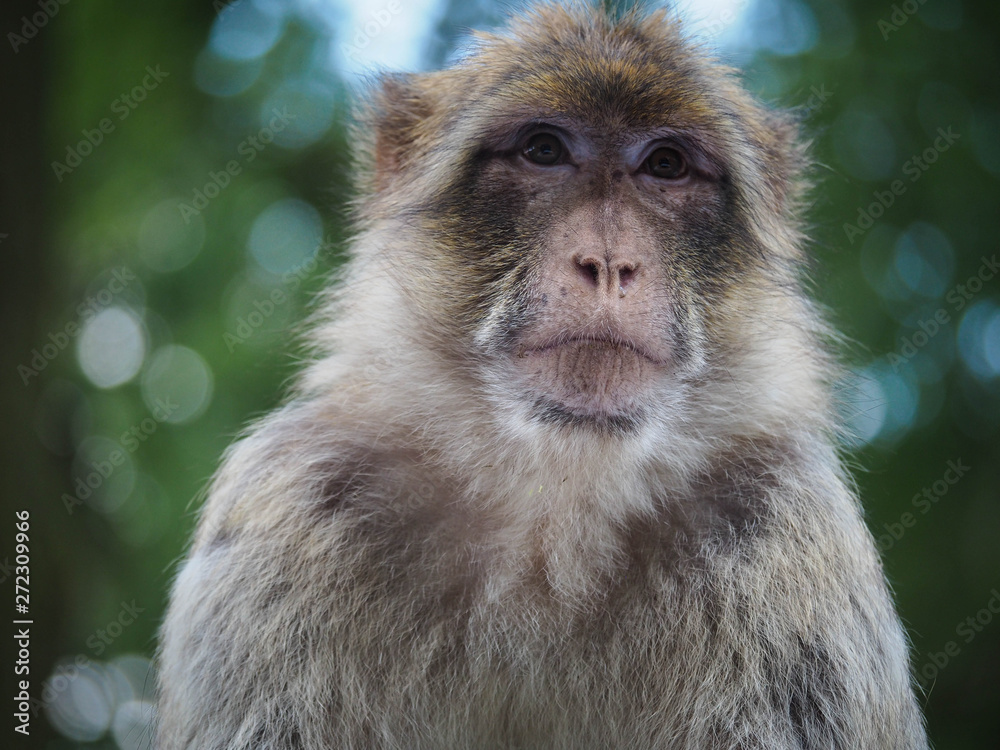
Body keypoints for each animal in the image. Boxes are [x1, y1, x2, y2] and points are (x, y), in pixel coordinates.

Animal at [156, 4, 929, 748]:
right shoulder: (292, 499)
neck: (553, 507)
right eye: (544, 150)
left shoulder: (788, 524)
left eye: (667, 164)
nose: (609, 262)